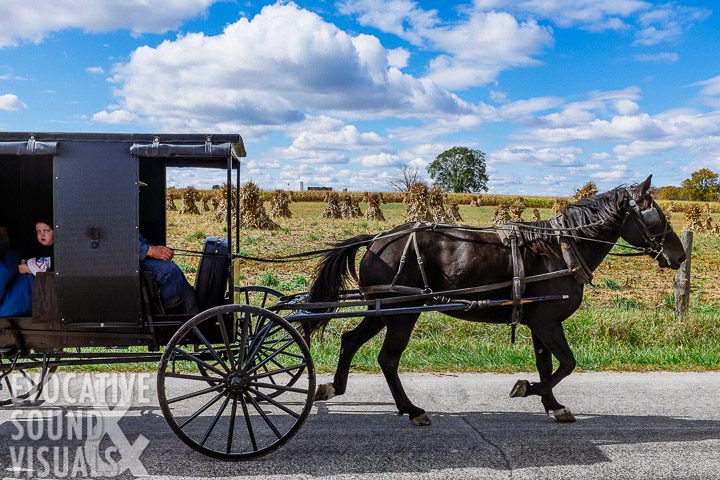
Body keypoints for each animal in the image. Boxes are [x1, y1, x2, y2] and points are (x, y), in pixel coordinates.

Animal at [306, 178, 688, 426]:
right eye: (655, 215)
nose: (680, 255)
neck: (561, 248)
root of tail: (377, 239)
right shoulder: (548, 322)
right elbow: (567, 363)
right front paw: (527, 389)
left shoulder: (540, 323)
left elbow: (547, 364)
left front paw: (552, 405)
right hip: (403, 313)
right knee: (387, 358)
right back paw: (412, 409)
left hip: (383, 310)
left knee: (350, 340)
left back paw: (334, 387)